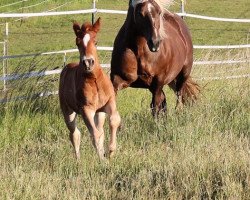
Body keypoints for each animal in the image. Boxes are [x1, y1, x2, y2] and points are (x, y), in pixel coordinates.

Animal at [59, 18, 120, 160]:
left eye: (96, 41)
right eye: (77, 43)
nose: (88, 62)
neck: (94, 80)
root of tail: (66, 68)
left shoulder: (109, 103)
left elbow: (114, 121)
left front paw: (111, 151)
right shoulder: (86, 110)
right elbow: (95, 135)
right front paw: (103, 160)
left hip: (99, 113)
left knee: (100, 130)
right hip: (68, 112)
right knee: (75, 134)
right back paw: (78, 161)